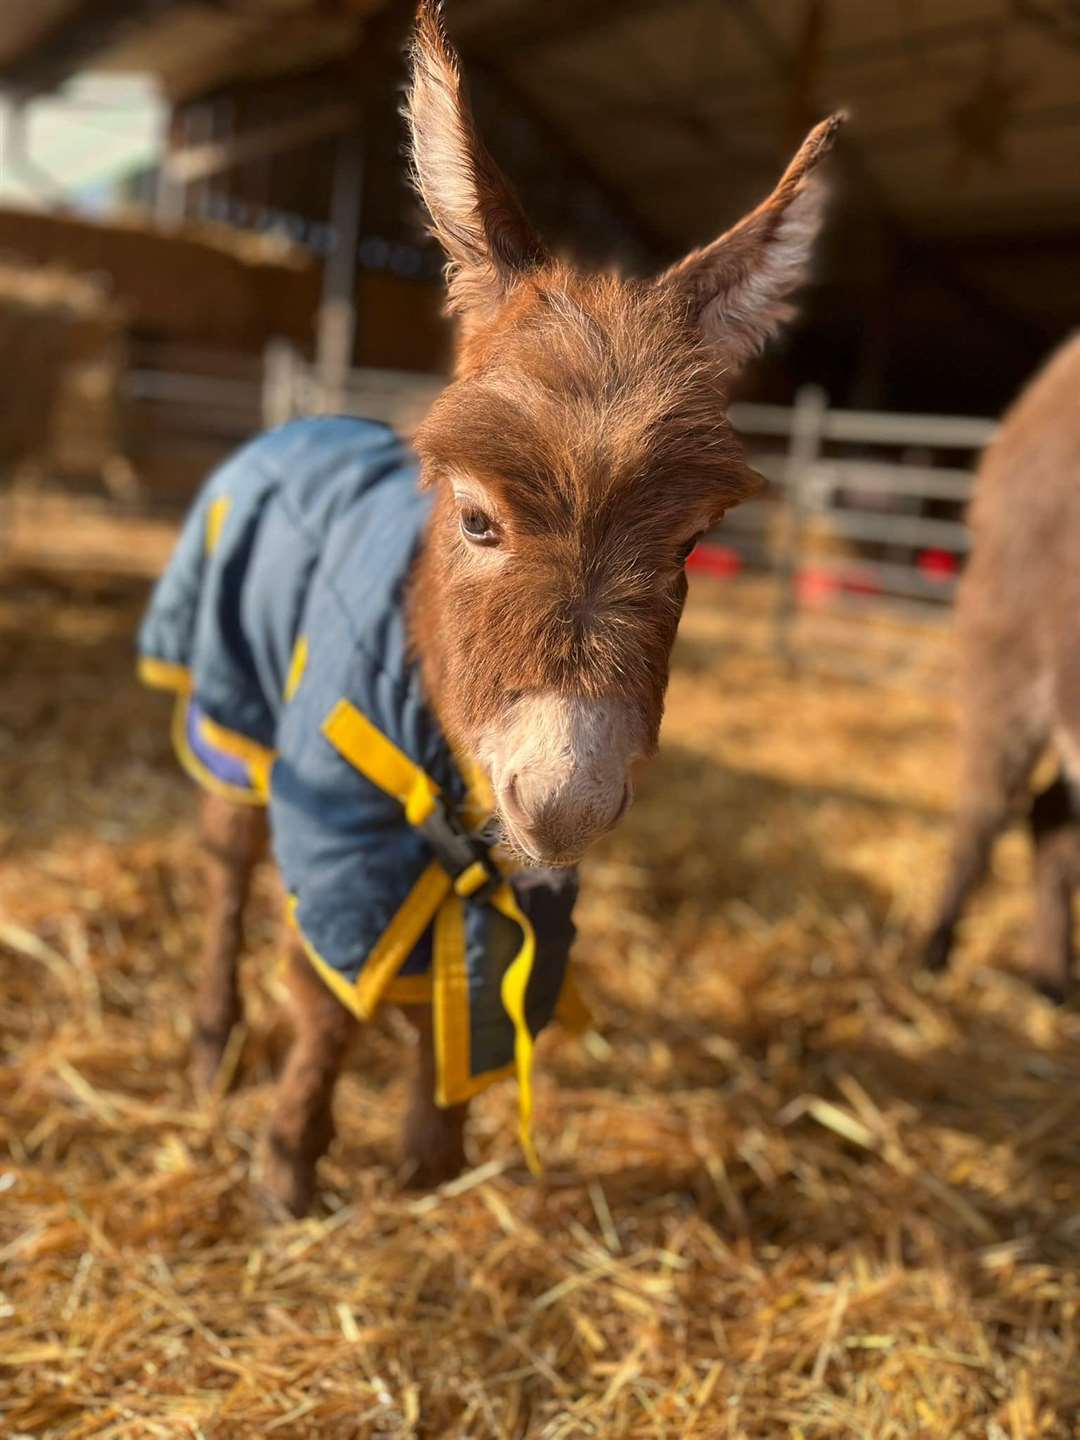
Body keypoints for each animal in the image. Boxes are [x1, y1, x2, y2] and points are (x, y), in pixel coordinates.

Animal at [182, 2, 846, 1215]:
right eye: (479, 520)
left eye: (688, 545)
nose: (566, 799)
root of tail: (305, 418)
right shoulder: (332, 799)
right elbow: (321, 993)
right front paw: (290, 1167)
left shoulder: (524, 873)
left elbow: (479, 987)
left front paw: (431, 1154)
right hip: (232, 712)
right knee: (224, 867)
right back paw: (213, 1044)